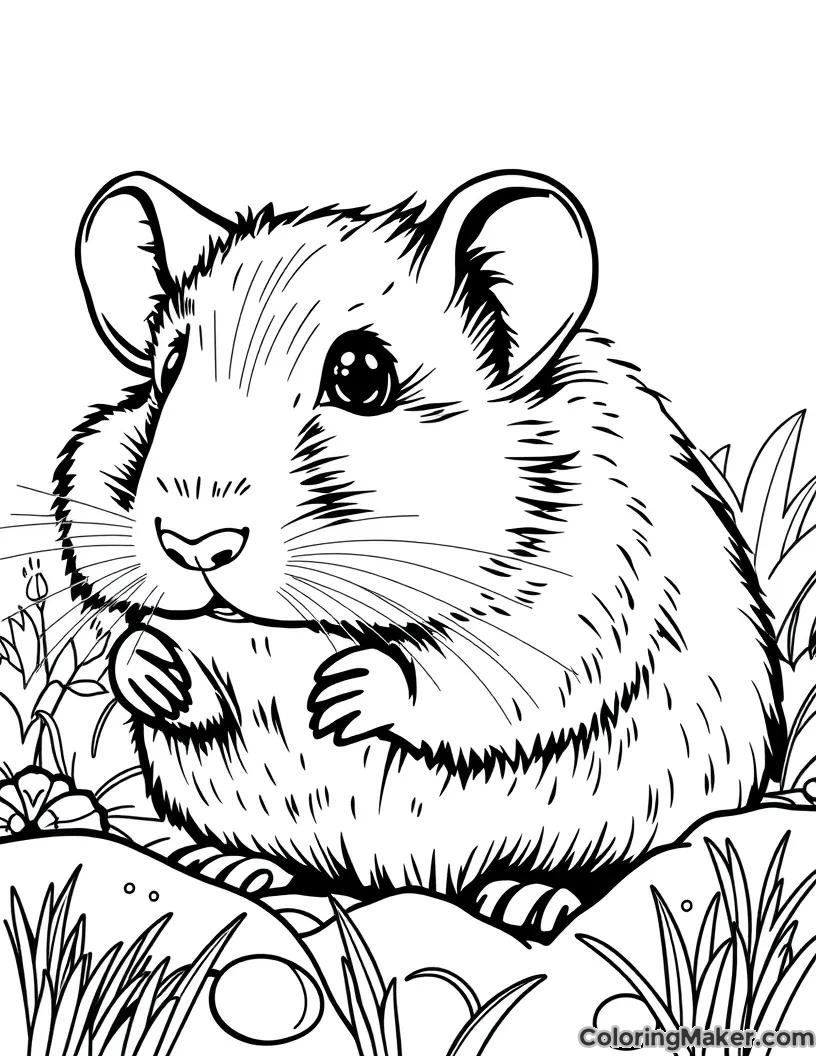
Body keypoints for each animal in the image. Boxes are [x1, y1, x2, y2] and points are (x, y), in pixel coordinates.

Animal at [56, 169, 784, 927]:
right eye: (166, 370)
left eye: (359, 375)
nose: (195, 544)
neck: (301, 630)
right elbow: (153, 652)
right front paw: (155, 673)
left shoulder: (575, 612)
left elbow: (468, 680)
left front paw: (339, 698)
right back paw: (241, 871)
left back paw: (528, 899)